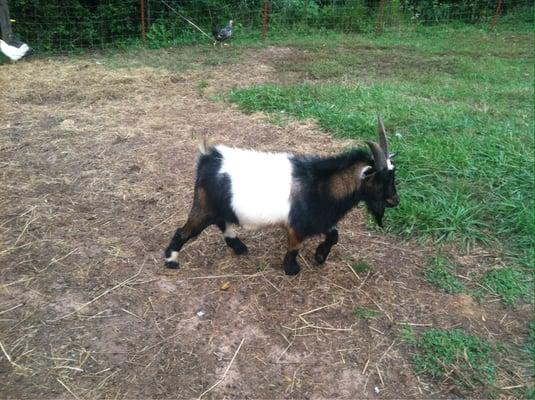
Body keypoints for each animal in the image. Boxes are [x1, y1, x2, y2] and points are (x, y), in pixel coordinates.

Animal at [165, 115, 400, 276]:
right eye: (382, 179)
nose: (395, 201)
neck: (321, 185)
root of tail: (207, 158)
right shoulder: (297, 225)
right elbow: (294, 247)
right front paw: (291, 269)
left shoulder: (320, 219)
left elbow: (334, 235)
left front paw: (319, 256)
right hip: (204, 205)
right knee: (185, 231)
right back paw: (171, 260)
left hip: (220, 206)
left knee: (223, 222)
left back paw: (239, 247)